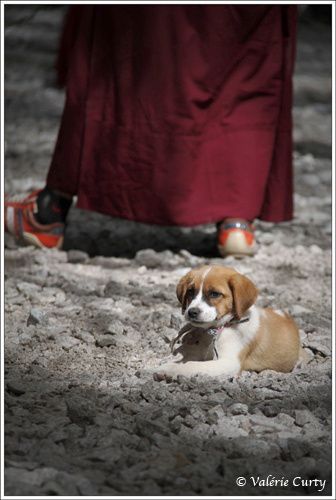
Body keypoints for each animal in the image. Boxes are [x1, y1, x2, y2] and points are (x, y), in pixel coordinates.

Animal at [154, 266, 300, 378]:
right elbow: (185, 354)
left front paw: (168, 369)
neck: (215, 330)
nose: (192, 312)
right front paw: (167, 360)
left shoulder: (229, 363)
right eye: (190, 291)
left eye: (214, 294)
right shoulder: (199, 350)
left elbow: (191, 365)